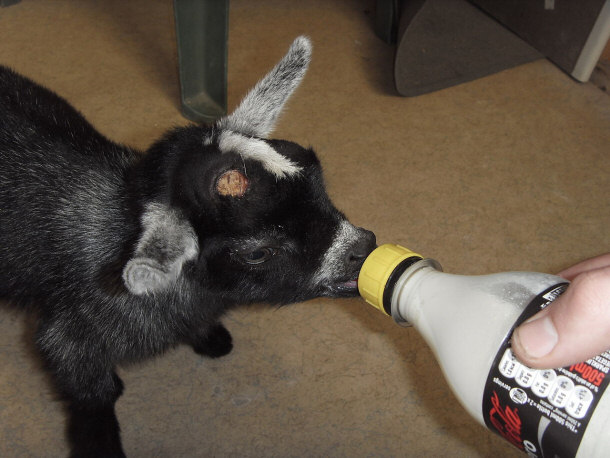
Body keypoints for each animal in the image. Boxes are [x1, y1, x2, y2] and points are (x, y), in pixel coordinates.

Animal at [0, 37, 376, 456]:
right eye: (257, 253)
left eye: (318, 179)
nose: (364, 247)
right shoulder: (71, 341)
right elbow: (93, 395)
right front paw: (100, 444)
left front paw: (209, 337)